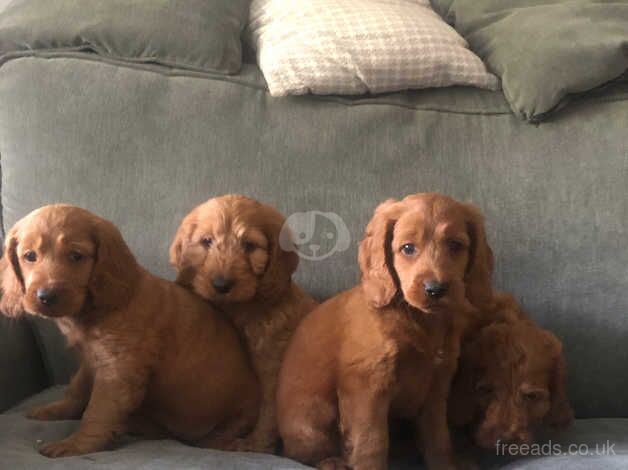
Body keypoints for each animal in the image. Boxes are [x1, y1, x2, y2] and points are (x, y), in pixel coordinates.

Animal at [0, 204, 258, 458]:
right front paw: (56, 409)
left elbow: (97, 410)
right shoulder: (91, 360)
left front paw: (77, 444)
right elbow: (77, 388)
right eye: (29, 256)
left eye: (75, 256)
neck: (98, 307)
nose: (46, 297)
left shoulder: (118, 369)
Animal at [169, 195, 316, 452]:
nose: (221, 284)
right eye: (206, 241)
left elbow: (268, 414)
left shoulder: (273, 369)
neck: (241, 309)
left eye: (249, 245)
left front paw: (256, 446)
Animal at [278, 193, 494, 468]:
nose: (435, 289)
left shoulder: (437, 385)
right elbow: (372, 441)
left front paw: (446, 464)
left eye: (455, 245)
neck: (419, 320)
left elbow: (437, 437)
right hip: (314, 414)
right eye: (408, 248)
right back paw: (332, 461)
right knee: (303, 453)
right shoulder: (367, 385)